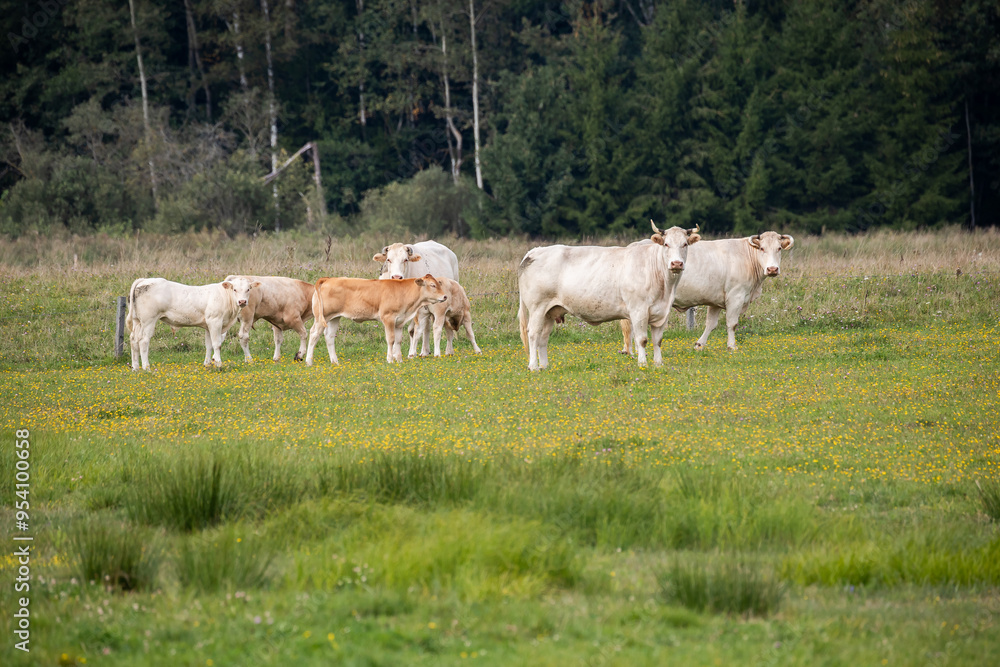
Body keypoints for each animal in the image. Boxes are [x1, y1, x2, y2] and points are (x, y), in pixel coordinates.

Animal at [126, 277, 259, 371]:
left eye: (248, 289)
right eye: (234, 289)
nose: (242, 301)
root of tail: (145, 280)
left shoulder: (208, 325)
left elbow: (209, 345)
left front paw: (207, 364)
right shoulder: (215, 321)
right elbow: (217, 344)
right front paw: (218, 364)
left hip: (137, 321)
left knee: (133, 339)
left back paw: (135, 367)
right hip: (148, 320)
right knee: (143, 341)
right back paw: (146, 367)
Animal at [304, 275, 448, 365]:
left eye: (438, 283)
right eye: (432, 285)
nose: (445, 296)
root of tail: (329, 279)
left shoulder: (399, 322)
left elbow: (399, 340)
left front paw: (399, 360)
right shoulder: (388, 318)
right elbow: (391, 339)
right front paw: (390, 359)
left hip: (334, 317)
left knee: (329, 336)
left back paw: (335, 361)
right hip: (321, 318)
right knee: (314, 334)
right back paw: (309, 361)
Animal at [517, 221, 701, 370]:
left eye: (685, 244)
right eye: (666, 244)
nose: (676, 263)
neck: (665, 287)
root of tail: (535, 251)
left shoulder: (662, 312)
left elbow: (658, 340)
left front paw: (658, 364)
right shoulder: (638, 310)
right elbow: (642, 339)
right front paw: (643, 364)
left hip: (550, 311)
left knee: (543, 338)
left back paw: (545, 366)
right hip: (537, 307)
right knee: (533, 334)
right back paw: (533, 366)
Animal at [620, 231, 795, 353]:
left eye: (779, 248)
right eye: (762, 248)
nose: (772, 269)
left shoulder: (716, 300)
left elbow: (711, 324)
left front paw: (699, 344)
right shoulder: (736, 296)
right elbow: (732, 323)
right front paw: (732, 346)